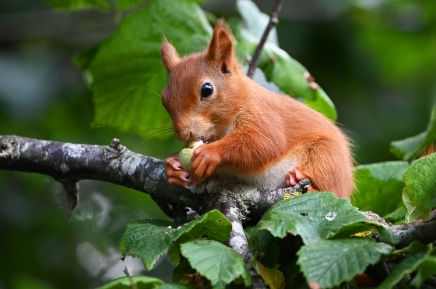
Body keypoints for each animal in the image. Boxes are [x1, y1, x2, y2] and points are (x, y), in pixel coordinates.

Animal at [160, 22, 354, 198]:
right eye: (164, 100)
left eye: (207, 89)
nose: (183, 133)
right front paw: (173, 167)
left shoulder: (262, 114)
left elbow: (263, 143)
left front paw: (209, 153)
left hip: (327, 156)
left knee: (332, 189)